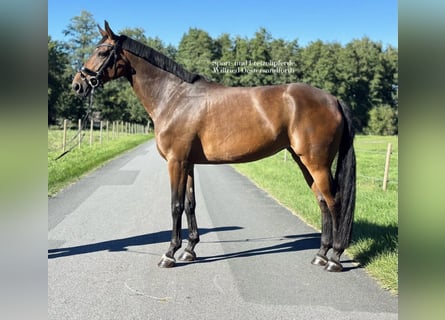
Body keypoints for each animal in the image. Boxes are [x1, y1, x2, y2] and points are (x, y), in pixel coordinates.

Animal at [73, 21, 358, 272]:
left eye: (102, 52)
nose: (78, 84)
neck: (174, 97)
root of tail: (332, 99)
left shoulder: (176, 162)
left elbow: (175, 205)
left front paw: (169, 253)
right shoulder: (188, 163)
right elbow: (190, 204)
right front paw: (189, 250)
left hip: (316, 163)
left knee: (334, 202)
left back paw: (335, 258)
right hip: (304, 161)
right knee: (322, 201)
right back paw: (321, 254)